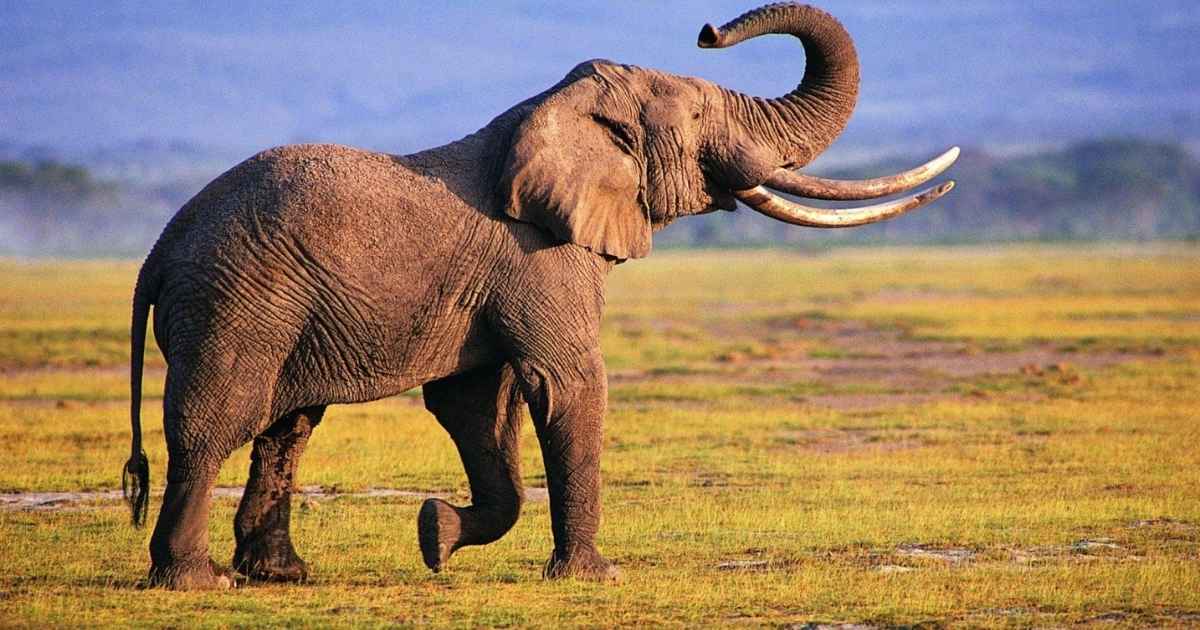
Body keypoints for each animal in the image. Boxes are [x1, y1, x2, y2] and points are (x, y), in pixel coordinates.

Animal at [121, 2, 958, 589]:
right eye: (696, 115)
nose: (709, 28)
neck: (551, 111)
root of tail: (159, 249)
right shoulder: (541, 259)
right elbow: (568, 384)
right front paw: (594, 576)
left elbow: (476, 406)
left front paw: (435, 533)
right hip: (237, 299)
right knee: (218, 420)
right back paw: (195, 582)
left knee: (287, 426)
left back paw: (282, 575)